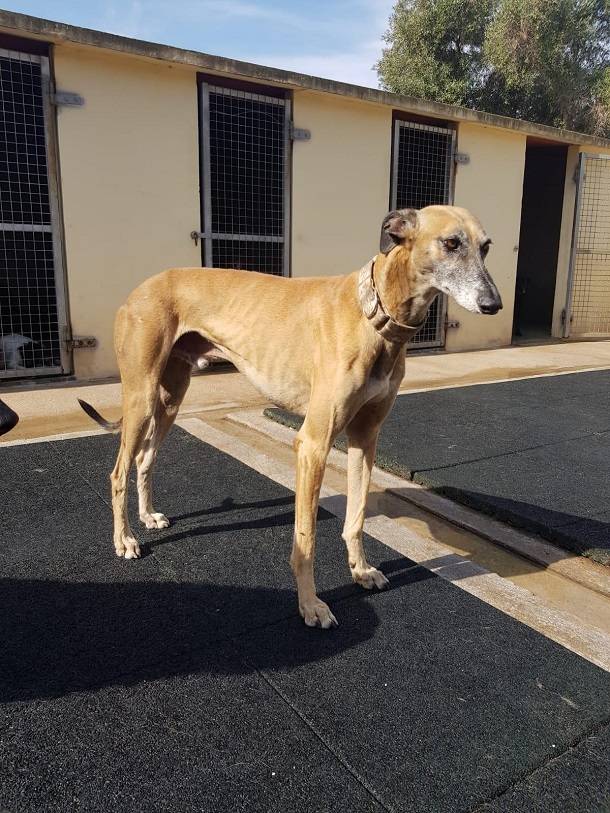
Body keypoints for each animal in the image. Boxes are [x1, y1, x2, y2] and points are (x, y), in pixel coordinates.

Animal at [80, 205, 502, 629]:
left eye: (486, 246)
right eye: (451, 243)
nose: (494, 304)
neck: (374, 315)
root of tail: (140, 288)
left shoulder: (365, 437)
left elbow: (357, 516)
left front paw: (361, 571)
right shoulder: (313, 444)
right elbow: (306, 538)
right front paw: (311, 605)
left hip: (170, 397)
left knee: (144, 458)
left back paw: (147, 516)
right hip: (141, 395)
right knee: (118, 471)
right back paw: (124, 540)